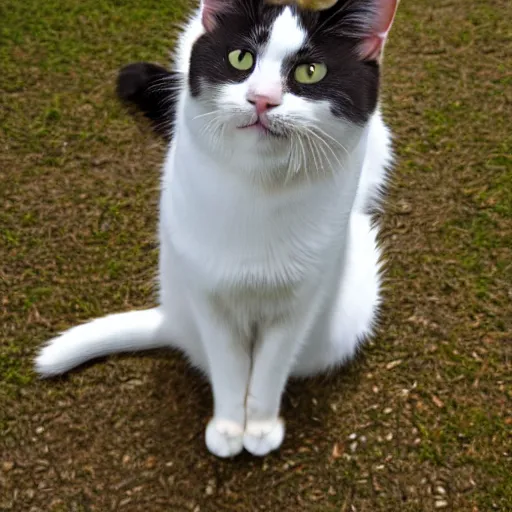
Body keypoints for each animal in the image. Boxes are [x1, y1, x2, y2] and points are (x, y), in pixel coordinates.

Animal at [36, 0, 398, 456]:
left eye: (309, 72)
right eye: (240, 59)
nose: (262, 99)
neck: (258, 194)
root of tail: (170, 321)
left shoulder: (301, 302)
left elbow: (270, 367)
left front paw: (258, 427)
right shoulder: (207, 294)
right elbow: (229, 365)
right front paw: (228, 427)